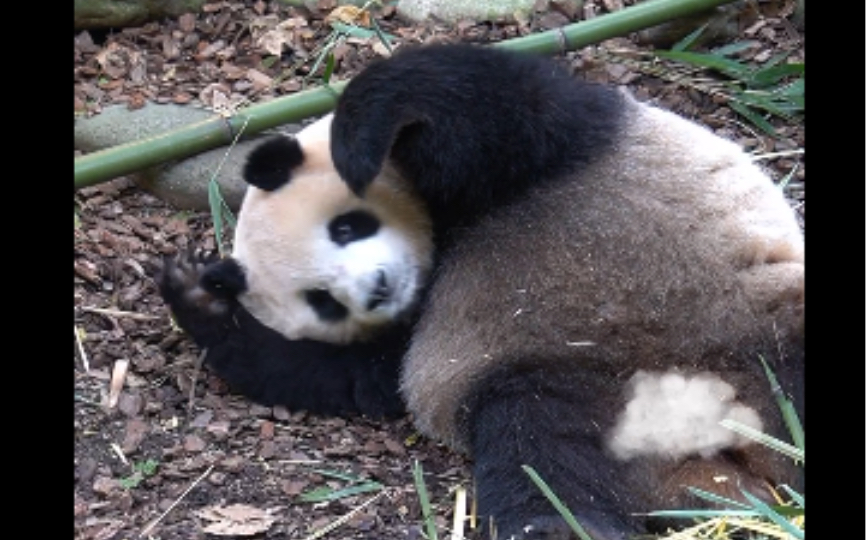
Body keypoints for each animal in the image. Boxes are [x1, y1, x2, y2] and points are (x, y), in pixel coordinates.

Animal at [159, 43, 800, 540]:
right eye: (324, 300)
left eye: (345, 228)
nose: (378, 289)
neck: (441, 244)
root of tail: (721, 447)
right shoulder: (408, 331)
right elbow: (339, 374)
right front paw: (200, 298)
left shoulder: (539, 148)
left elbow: (483, 105)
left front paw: (355, 144)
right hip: (565, 386)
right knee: (547, 460)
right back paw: (556, 527)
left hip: (749, 312)